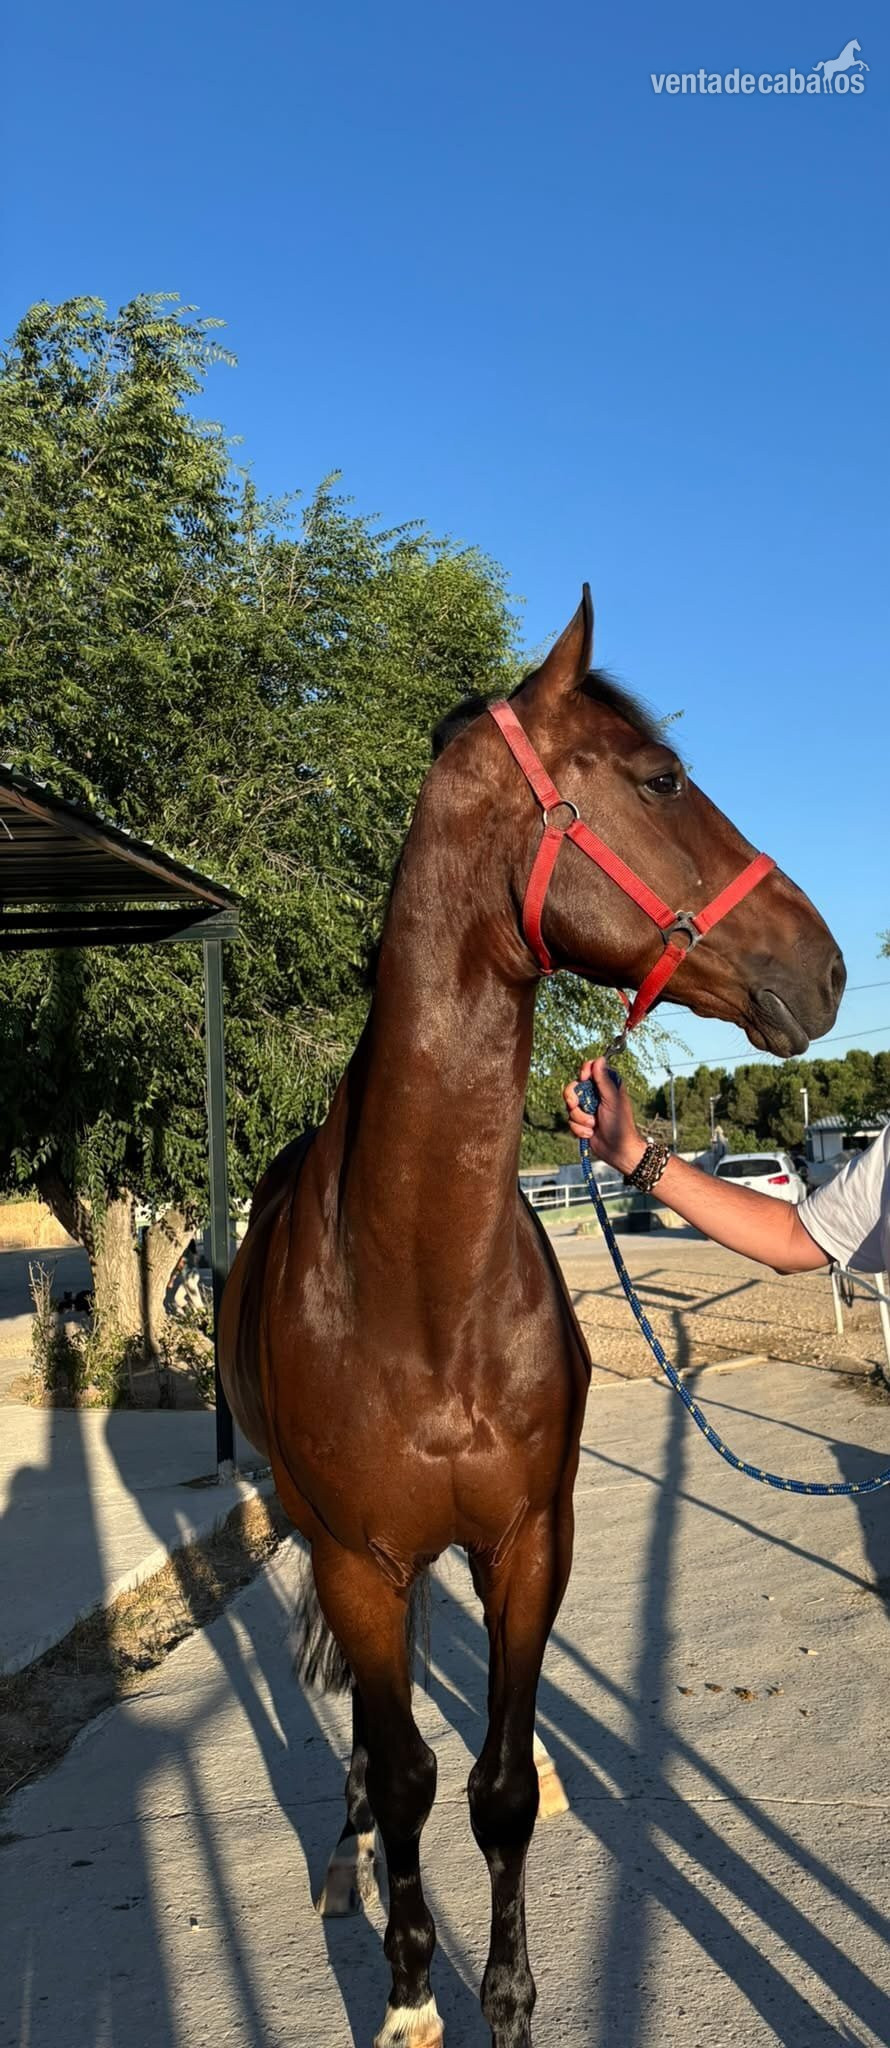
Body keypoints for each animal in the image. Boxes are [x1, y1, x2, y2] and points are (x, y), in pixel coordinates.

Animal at [218, 587, 844, 2048]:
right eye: (660, 779)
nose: (830, 966)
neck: (415, 1279)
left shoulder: (527, 1538)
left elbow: (493, 1787)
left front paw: (503, 1996)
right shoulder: (360, 1560)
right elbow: (404, 1774)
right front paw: (407, 1996)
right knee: (365, 1731)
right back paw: (344, 1859)